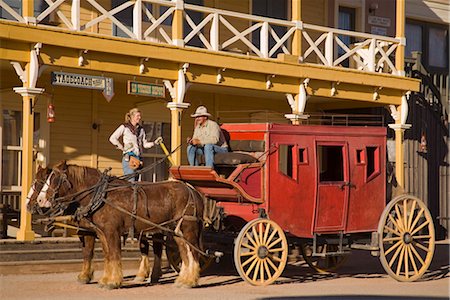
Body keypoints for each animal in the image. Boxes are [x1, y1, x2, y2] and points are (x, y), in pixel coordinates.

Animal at [28, 162, 204, 288]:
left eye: (53, 179)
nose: (38, 201)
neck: (100, 197)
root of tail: (192, 191)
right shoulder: (101, 233)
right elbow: (107, 255)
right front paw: (105, 279)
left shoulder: (111, 231)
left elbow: (112, 254)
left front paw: (113, 281)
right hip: (175, 231)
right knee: (183, 252)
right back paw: (182, 279)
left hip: (188, 228)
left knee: (193, 252)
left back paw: (190, 281)